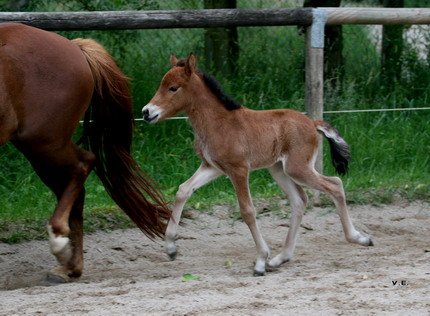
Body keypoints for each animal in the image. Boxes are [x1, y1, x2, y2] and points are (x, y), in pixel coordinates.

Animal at [0, 22, 171, 282]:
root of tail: (75, 47)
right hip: (41, 148)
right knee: (74, 188)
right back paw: (70, 266)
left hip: (44, 142)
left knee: (84, 164)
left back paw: (61, 245)